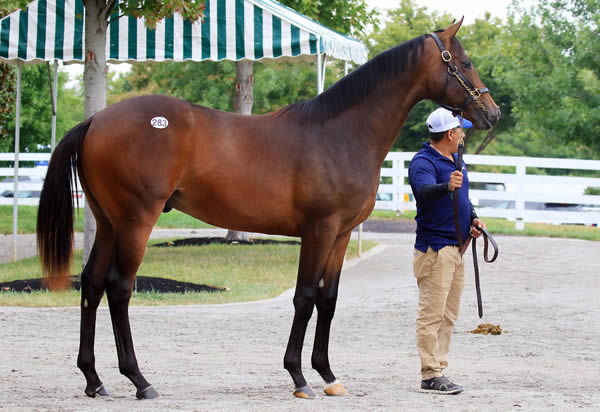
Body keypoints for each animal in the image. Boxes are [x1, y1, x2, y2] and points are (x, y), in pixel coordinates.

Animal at [35, 18, 500, 400]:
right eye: (466, 61)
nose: (492, 113)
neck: (341, 133)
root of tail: (96, 121)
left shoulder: (341, 234)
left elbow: (328, 298)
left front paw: (328, 375)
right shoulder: (318, 230)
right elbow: (305, 297)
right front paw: (298, 377)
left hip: (108, 222)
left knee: (92, 284)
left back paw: (94, 380)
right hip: (135, 221)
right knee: (119, 288)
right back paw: (140, 381)